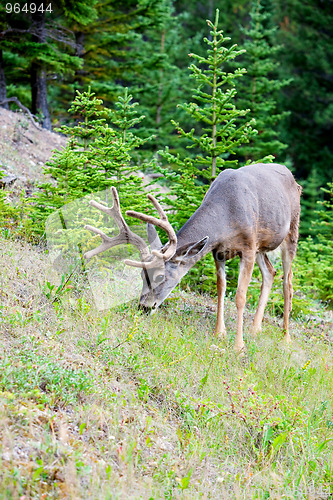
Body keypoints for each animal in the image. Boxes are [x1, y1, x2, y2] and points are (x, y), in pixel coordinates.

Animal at [83, 164, 300, 352]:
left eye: (160, 277)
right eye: (141, 275)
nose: (144, 307)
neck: (226, 215)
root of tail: (292, 176)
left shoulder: (248, 247)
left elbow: (240, 296)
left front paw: (239, 346)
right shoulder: (218, 251)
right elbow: (220, 288)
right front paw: (219, 333)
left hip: (291, 231)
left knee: (287, 283)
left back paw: (286, 338)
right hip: (262, 246)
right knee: (270, 272)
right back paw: (255, 329)